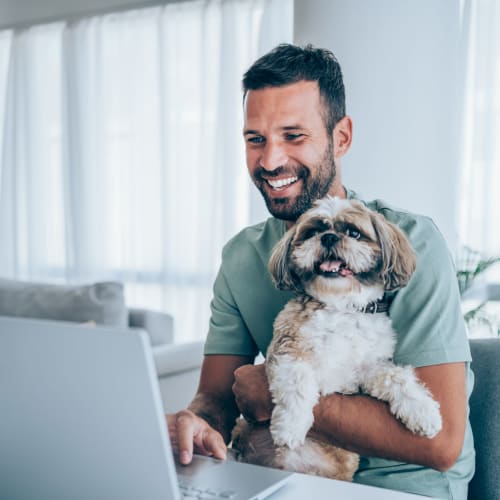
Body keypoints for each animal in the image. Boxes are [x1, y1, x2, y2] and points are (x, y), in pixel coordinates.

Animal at [230, 195, 442, 480]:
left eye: (354, 233)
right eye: (313, 232)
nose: (329, 237)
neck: (342, 307)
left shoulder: (368, 368)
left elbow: (397, 378)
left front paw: (424, 412)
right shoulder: (289, 347)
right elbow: (298, 384)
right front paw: (290, 427)